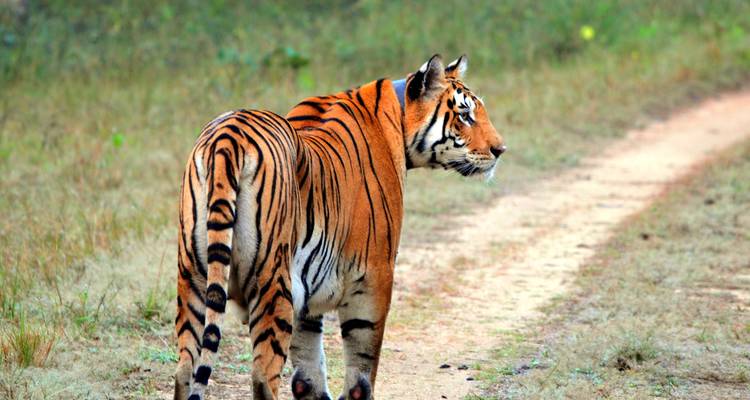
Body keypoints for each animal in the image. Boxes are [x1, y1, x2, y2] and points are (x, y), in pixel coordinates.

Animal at [174, 54, 505, 400]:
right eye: (465, 115)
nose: (500, 149)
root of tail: (228, 136)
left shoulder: (305, 295)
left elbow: (308, 374)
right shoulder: (374, 277)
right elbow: (361, 372)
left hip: (195, 278)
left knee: (185, 370)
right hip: (271, 282)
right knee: (263, 376)